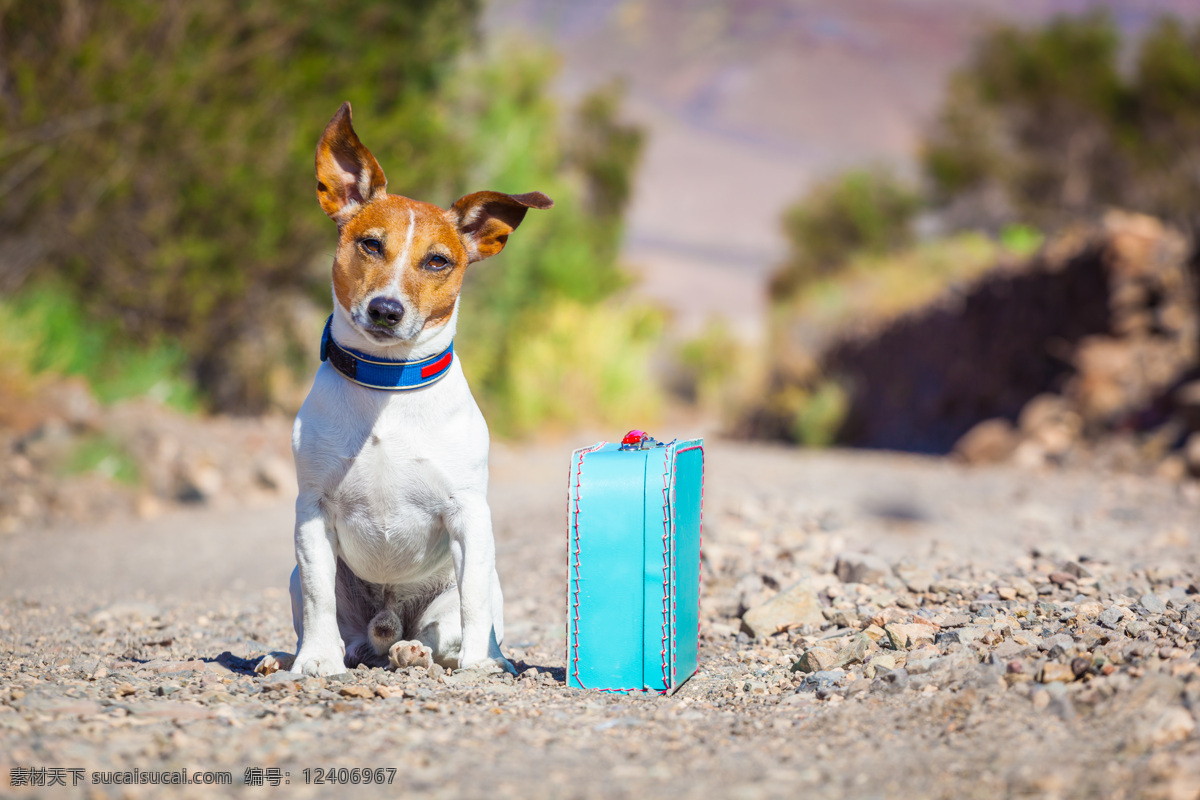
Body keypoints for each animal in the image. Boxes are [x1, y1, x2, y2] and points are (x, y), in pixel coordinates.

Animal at [283, 100, 549, 676]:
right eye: (370, 244)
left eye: (437, 261)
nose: (386, 309)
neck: (387, 384)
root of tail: (387, 626)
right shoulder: (312, 511)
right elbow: (317, 595)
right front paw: (314, 661)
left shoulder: (469, 515)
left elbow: (472, 602)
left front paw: (479, 663)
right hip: (310, 585)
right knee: (349, 635)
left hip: (470, 590)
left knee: (442, 630)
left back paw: (425, 651)